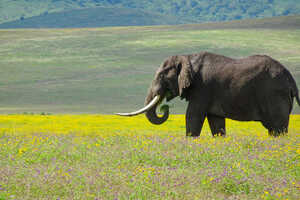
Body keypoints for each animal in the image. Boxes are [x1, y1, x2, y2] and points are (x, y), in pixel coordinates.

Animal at [117, 51, 300, 138]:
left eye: (162, 75)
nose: (165, 107)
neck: (188, 57)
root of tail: (291, 79)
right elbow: (216, 122)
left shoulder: (202, 88)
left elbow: (193, 116)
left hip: (274, 94)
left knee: (277, 128)